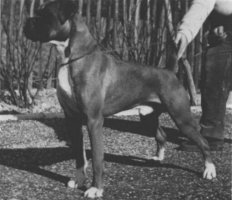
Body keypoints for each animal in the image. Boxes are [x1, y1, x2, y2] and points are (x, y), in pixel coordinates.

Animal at [23, 0, 216, 197]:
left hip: (181, 119)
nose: (26, 21)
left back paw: (209, 170)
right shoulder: (72, 119)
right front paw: (79, 180)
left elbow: (97, 159)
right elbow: (79, 155)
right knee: (162, 135)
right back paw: (158, 157)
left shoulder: (93, 121)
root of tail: (169, 72)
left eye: (45, 15)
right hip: (147, 117)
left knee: (203, 142)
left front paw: (96, 188)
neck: (72, 59)